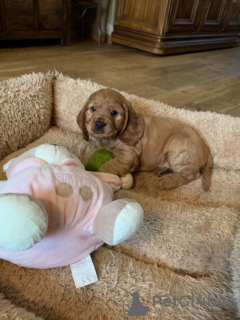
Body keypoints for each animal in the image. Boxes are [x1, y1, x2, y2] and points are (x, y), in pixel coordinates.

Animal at [77, 88, 212, 190]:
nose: (99, 124)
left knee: (192, 174)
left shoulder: (130, 154)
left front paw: (99, 175)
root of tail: (204, 145)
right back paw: (163, 171)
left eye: (114, 113)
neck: (111, 138)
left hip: (176, 146)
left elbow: (110, 165)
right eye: (93, 109)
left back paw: (166, 181)